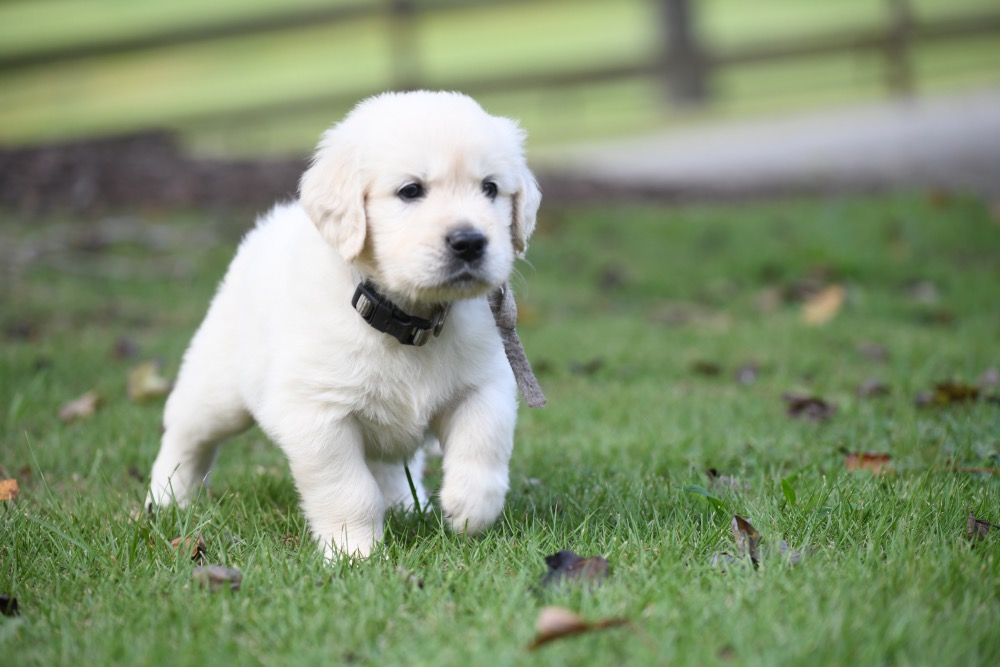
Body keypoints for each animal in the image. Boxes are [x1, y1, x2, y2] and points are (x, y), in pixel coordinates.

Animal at [143, 88, 540, 560]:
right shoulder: (319, 413)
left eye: (490, 188)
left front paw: (469, 510)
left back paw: (407, 504)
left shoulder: (483, 385)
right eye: (411, 190)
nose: (470, 242)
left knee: (390, 464)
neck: (406, 320)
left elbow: (484, 445)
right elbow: (348, 489)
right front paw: (355, 551)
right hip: (217, 390)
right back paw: (168, 498)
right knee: (185, 434)